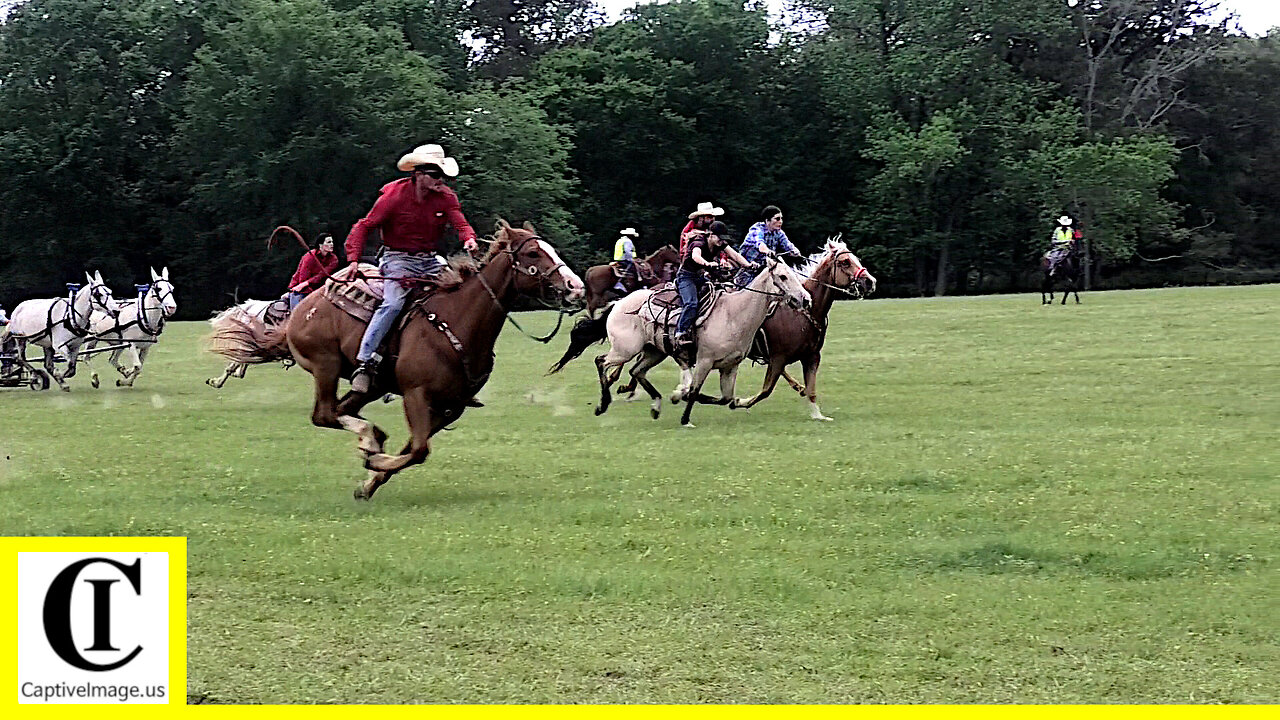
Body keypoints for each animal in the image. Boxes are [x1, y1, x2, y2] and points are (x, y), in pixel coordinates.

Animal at [208, 220, 586, 499]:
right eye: (534, 252)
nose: (576, 287)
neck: (458, 321)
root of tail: (304, 307)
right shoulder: (417, 394)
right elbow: (419, 450)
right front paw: (375, 465)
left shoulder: (451, 406)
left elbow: (414, 447)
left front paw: (369, 480)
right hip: (325, 366)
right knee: (325, 414)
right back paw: (368, 440)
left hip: (370, 385)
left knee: (342, 411)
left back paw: (371, 439)